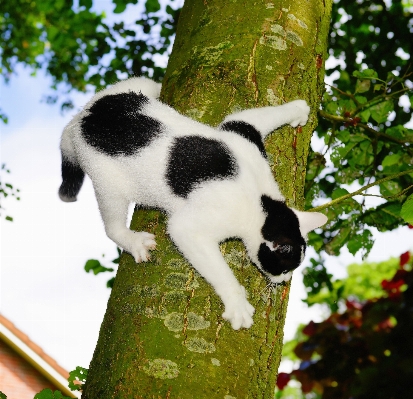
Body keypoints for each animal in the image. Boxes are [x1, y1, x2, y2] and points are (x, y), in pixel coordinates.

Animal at [58, 77, 328, 332]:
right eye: (284, 268)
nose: (285, 280)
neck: (264, 203)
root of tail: (80, 121)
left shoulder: (240, 129)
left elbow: (262, 115)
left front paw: (298, 109)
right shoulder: (190, 226)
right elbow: (218, 269)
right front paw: (237, 304)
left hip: (134, 86)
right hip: (109, 183)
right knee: (111, 226)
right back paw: (133, 241)